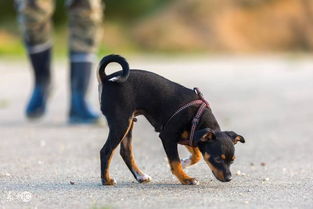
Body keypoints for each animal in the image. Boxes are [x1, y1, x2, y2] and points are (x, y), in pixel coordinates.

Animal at [97, 54, 244, 185]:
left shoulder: (190, 137)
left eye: (232, 160)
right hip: (121, 123)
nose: (229, 178)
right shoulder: (168, 137)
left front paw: (185, 163)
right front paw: (186, 179)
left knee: (126, 152)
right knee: (106, 151)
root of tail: (106, 79)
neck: (197, 116)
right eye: (218, 159)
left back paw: (140, 176)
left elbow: (196, 155)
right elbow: (175, 161)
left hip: (128, 124)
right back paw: (106, 180)